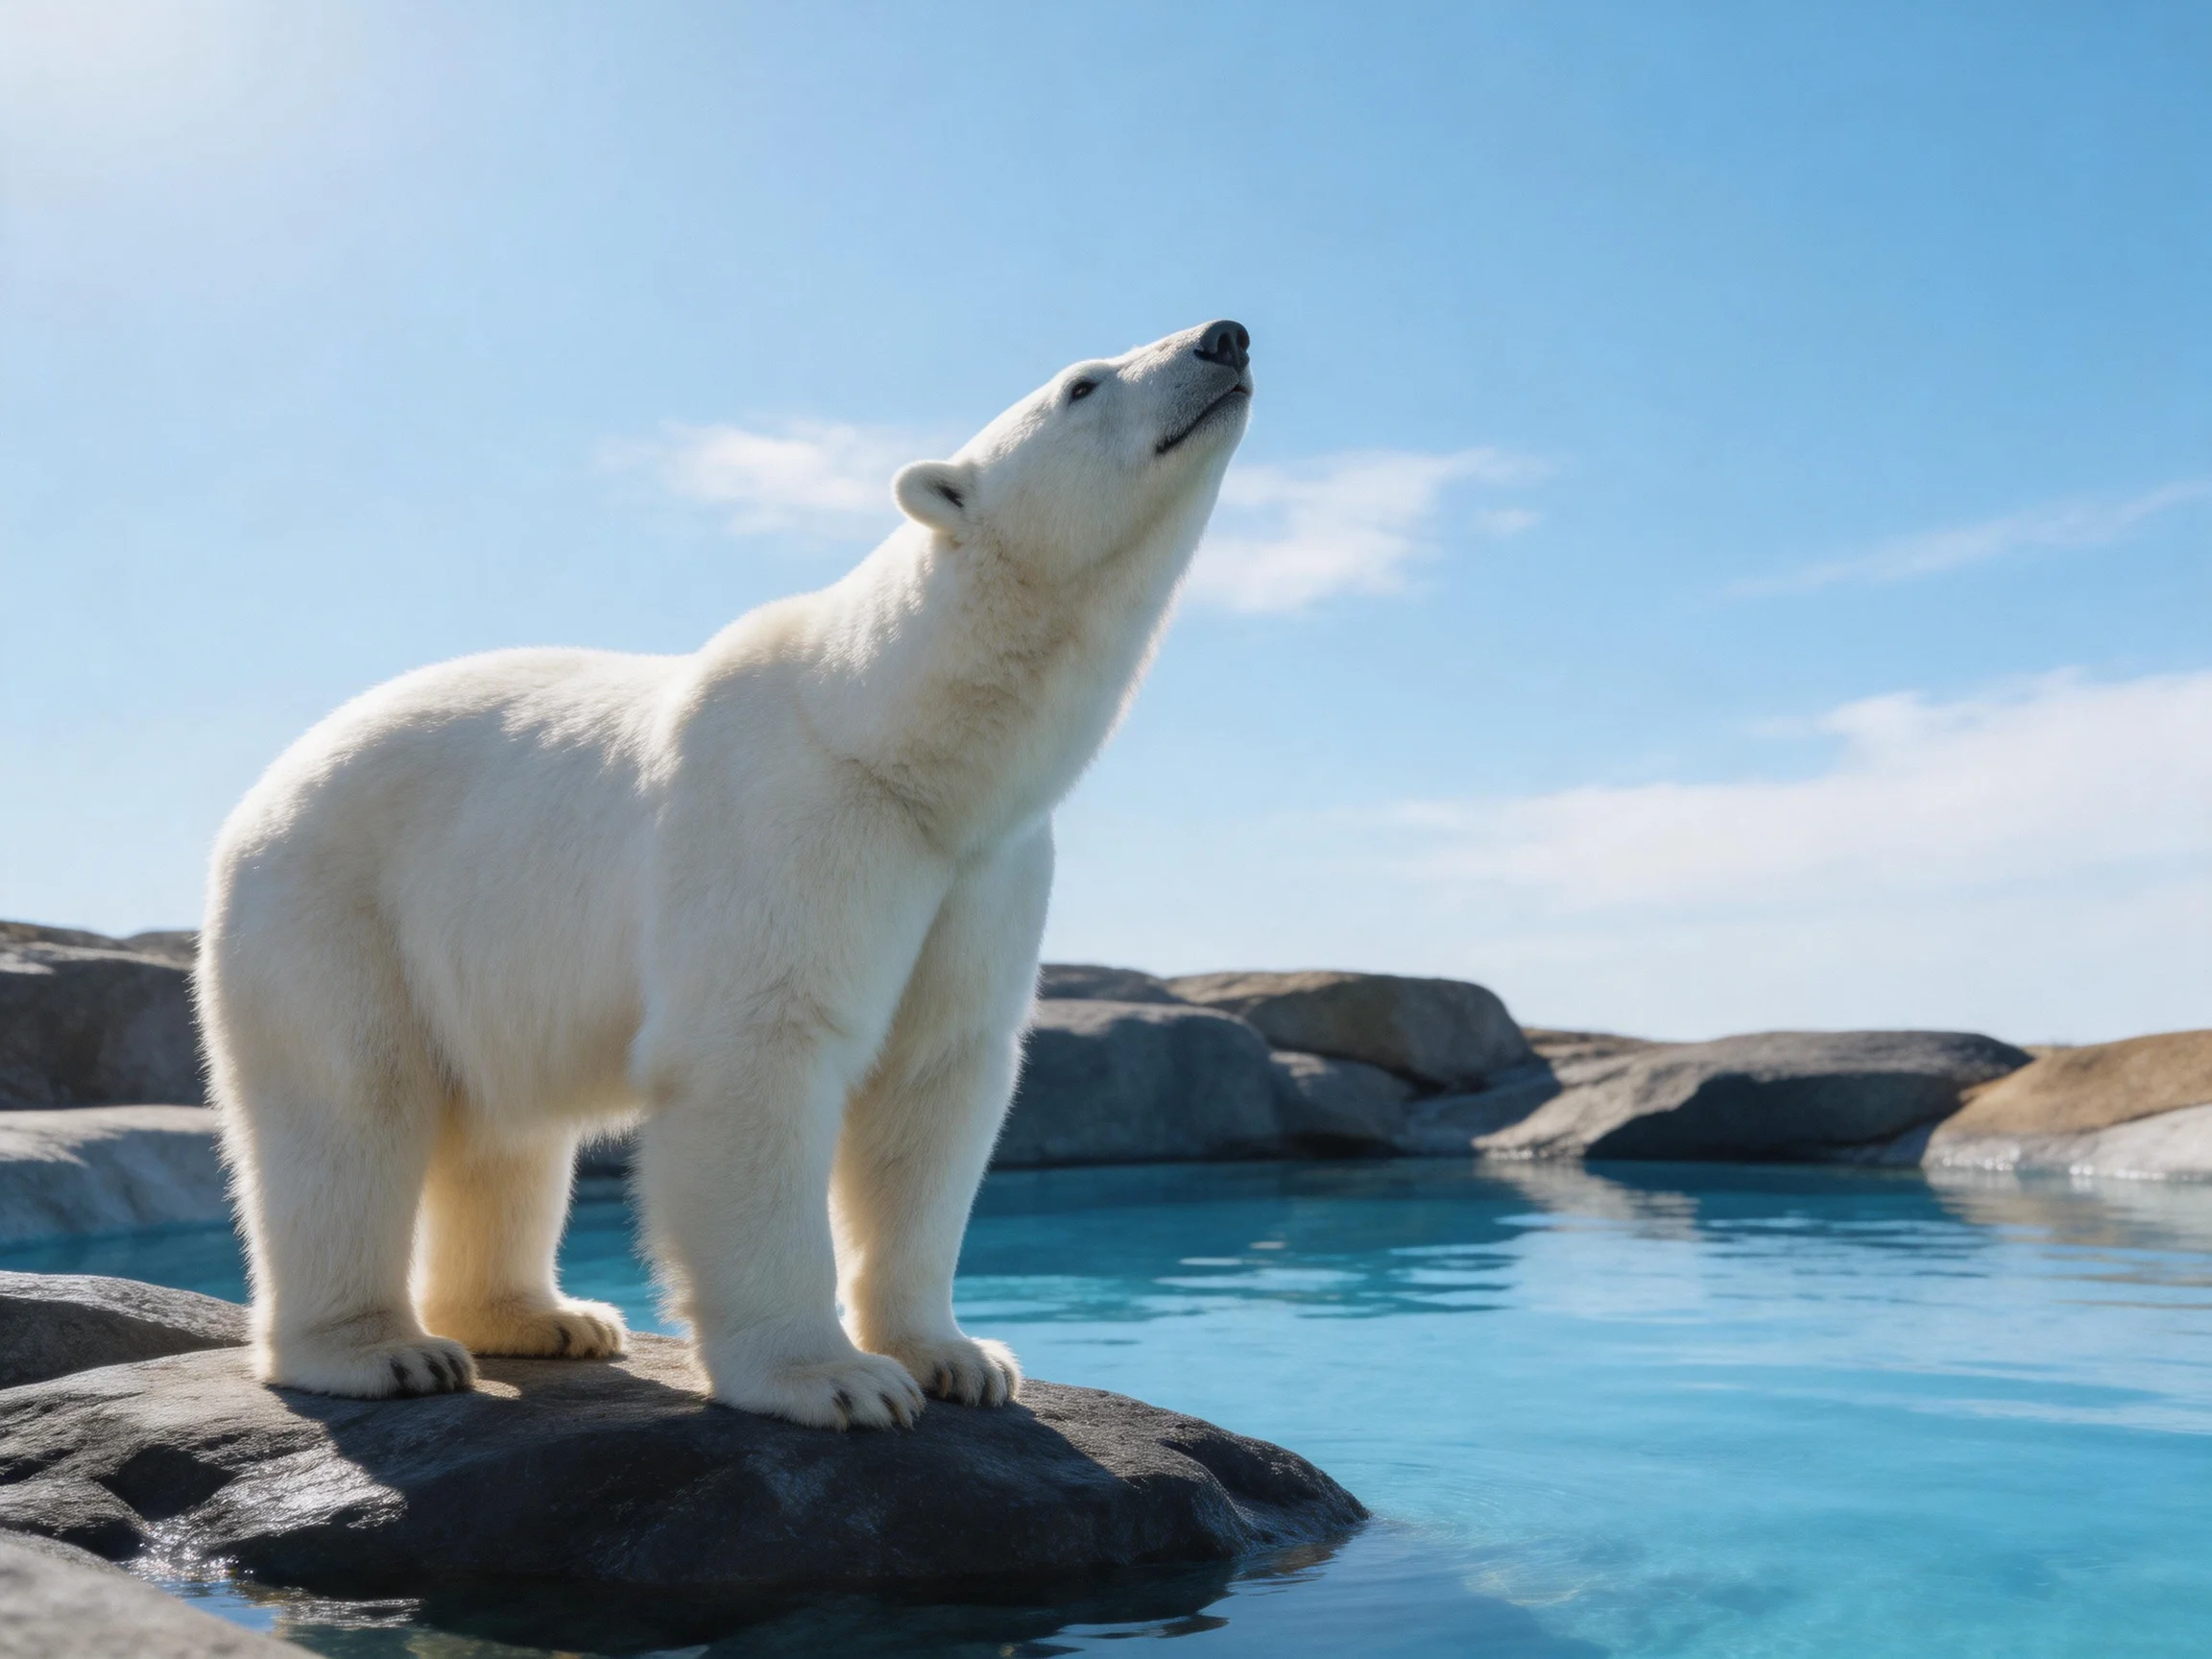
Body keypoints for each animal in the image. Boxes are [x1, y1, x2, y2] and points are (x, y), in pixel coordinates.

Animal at [197, 320, 1254, 1429]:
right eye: (1082, 385)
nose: (1224, 337)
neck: (894, 736)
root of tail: (265, 790)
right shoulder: (791, 822)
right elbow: (760, 1054)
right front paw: (835, 1379)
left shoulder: (981, 869)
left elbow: (933, 1083)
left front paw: (960, 1360)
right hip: (334, 902)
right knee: (349, 1105)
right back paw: (384, 1351)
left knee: (504, 1129)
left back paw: (547, 1319)